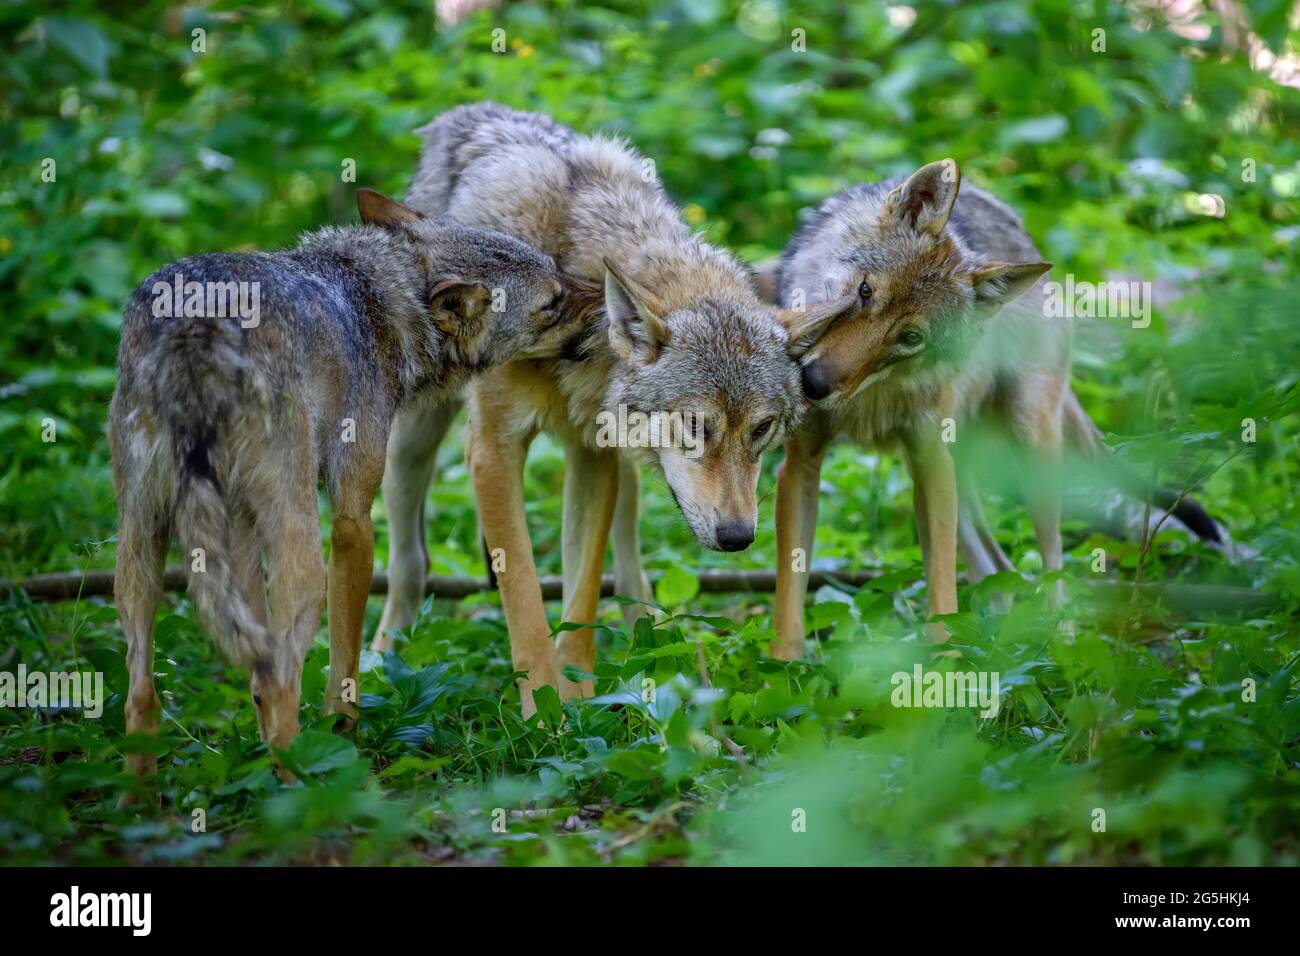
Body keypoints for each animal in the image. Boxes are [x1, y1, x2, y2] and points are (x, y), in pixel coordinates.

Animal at [110, 189, 602, 780]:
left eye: (558, 271)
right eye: (551, 303)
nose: (609, 295)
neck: (383, 301)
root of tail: (193, 326)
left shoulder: (244, 534)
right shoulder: (353, 522)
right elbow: (345, 660)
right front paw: (343, 732)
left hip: (143, 549)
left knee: (146, 694)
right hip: (301, 559)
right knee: (276, 682)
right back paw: (305, 785)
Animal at [375, 102, 854, 713]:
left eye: (762, 429)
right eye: (694, 424)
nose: (738, 539)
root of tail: (467, 112)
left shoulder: (592, 451)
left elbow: (581, 595)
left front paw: (579, 699)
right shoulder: (493, 452)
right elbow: (525, 600)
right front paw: (541, 711)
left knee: (627, 557)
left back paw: (643, 637)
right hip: (412, 443)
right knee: (410, 561)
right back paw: (379, 662)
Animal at [771, 160, 1228, 657]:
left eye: (910, 338)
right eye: (866, 291)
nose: (813, 384)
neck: (870, 398)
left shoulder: (932, 464)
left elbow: (942, 591)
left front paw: (943, 664)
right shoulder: (801, 465)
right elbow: (789, 594)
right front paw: (783, 666)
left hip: (1030, 455)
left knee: (1051, 566)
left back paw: (1060, 647)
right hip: (956, 480)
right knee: (998, 569)